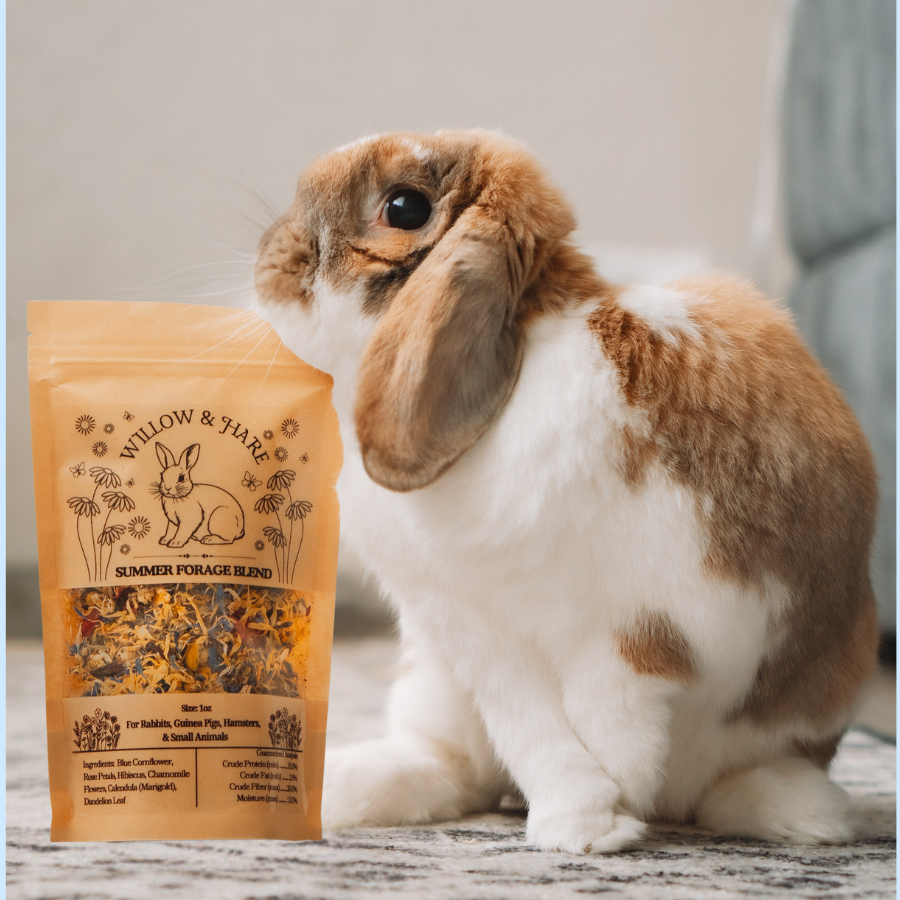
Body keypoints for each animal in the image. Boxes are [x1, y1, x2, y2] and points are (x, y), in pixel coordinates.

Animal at [252, 130, 878, 853]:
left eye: (404, 207)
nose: (269, 258)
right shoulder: (468, 620)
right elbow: (531, 723)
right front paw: (588, 823)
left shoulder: (647, 622)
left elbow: (613, 713)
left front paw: (601, 817)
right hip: (432, 680)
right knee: (455, 770)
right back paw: (338, 789)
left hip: (821, 695)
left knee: (728, 783)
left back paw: (811, 814)